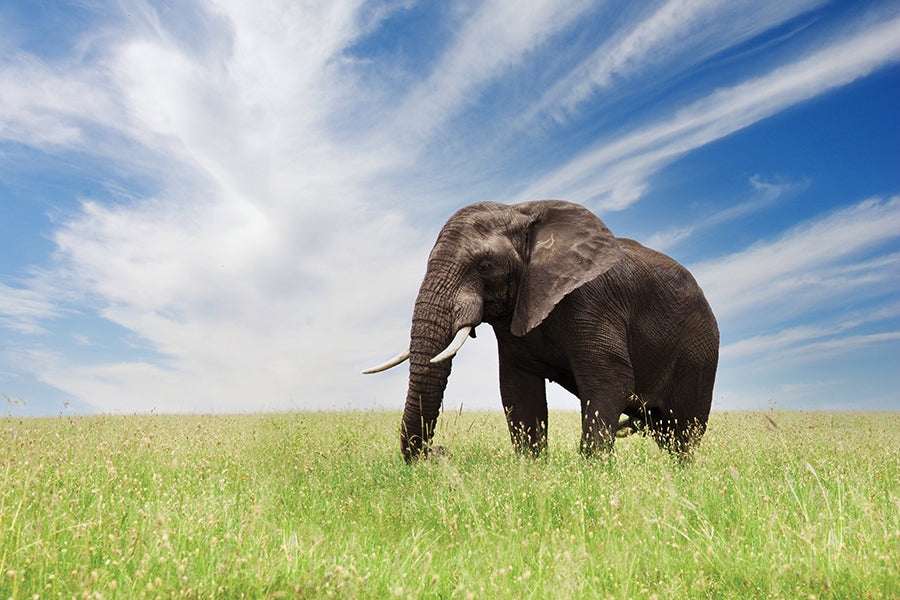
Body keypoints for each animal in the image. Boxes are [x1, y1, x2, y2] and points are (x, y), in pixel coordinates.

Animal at [362, 199, 720, 462]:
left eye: (484, 266)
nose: (437, 452)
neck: (521, 212)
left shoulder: (594, 300)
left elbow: (611, 381)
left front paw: (592, 474)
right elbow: (518, 391)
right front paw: (533, 470)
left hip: (699, 351)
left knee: (683, 432)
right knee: (666, 432)